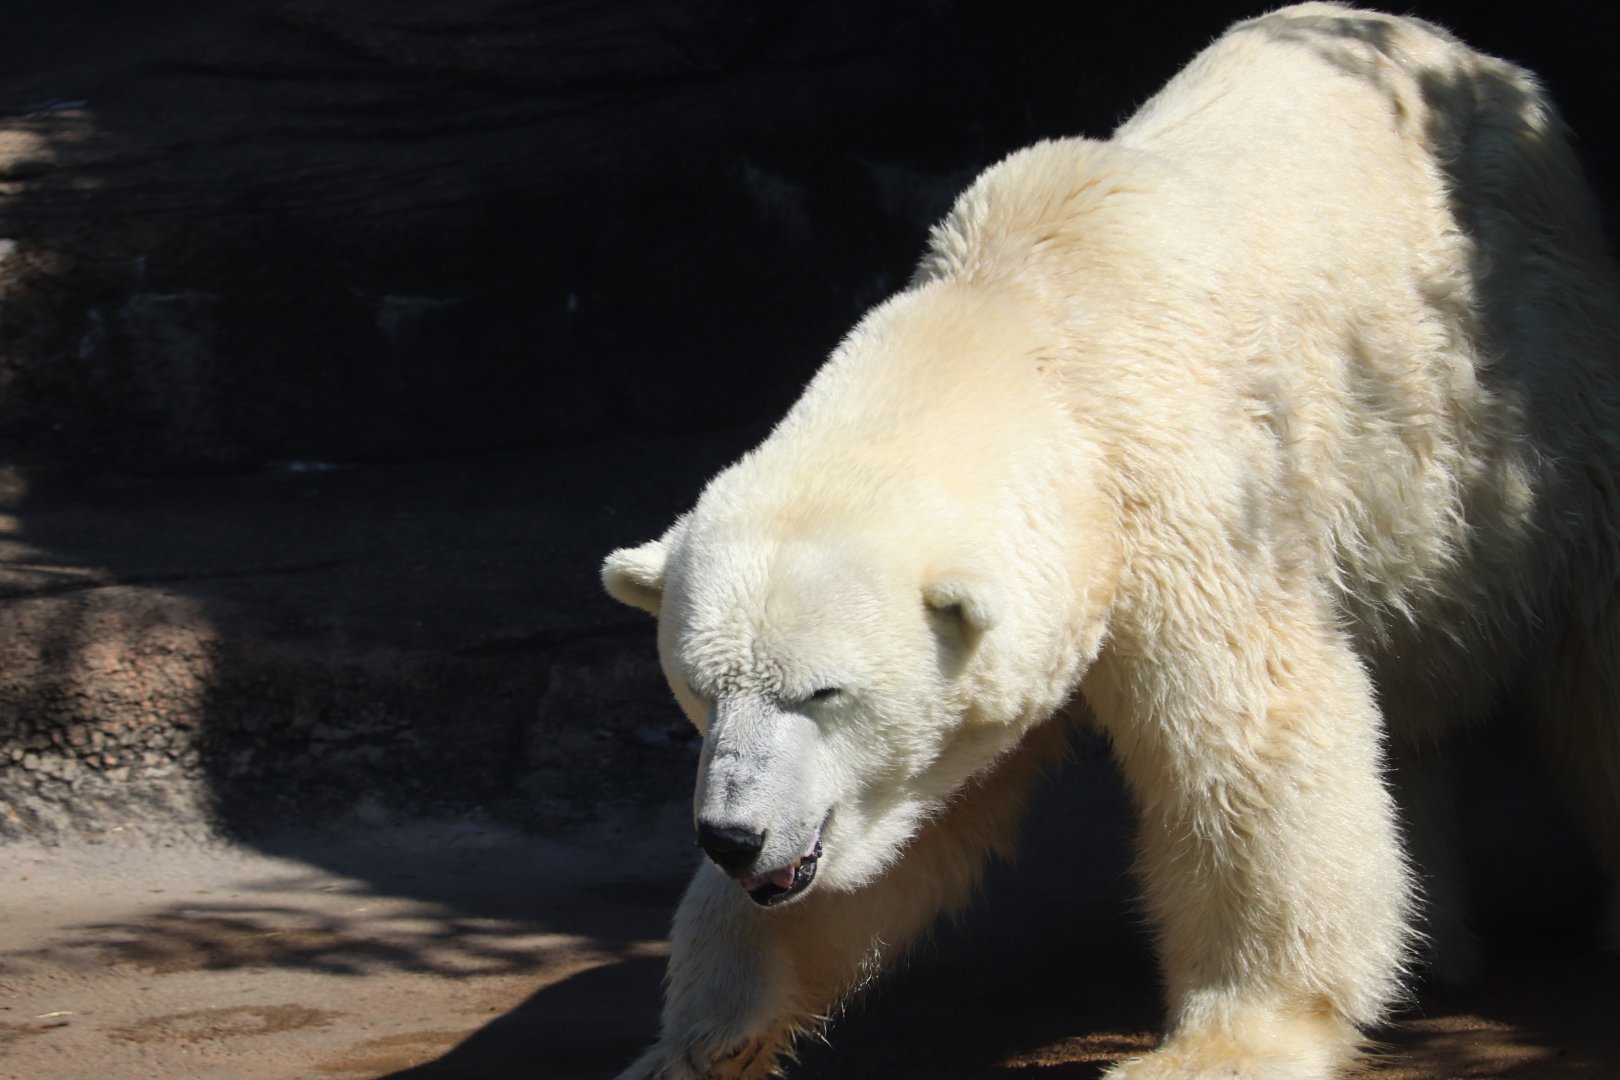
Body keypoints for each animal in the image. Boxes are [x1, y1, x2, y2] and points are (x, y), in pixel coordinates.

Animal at [600, 5, 1620, 1077]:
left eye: (824, 691)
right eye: (699, 689)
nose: (733, 835)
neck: (1026, 321)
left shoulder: (1190, 498)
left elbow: (1253, 736)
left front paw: (1224, 1041)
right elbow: (898, 829)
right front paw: (695, 1042)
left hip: (1524, 407)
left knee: (1587, 648)